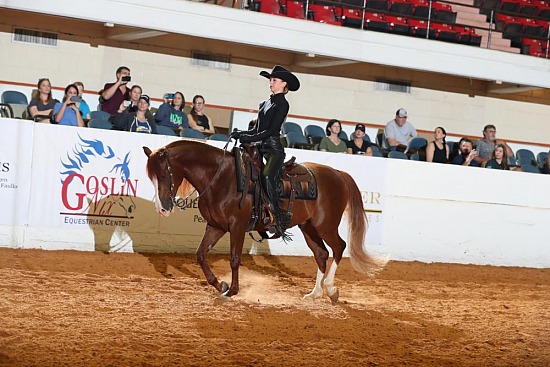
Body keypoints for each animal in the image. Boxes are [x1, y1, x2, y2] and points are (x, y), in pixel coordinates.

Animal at [144, 141, 386, 302]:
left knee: (339, 247)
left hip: (325, 225)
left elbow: (234, 259)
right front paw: (220, 284)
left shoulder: (237, 226)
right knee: (321, 254)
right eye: (150, 177)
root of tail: (338, 173)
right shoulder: (216, 226)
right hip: (308, 227)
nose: (162, 208)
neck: (221, 178)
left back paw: (330, 289)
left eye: (163, 175)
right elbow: (200, 254)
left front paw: (232, 290)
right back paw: (315, 292)